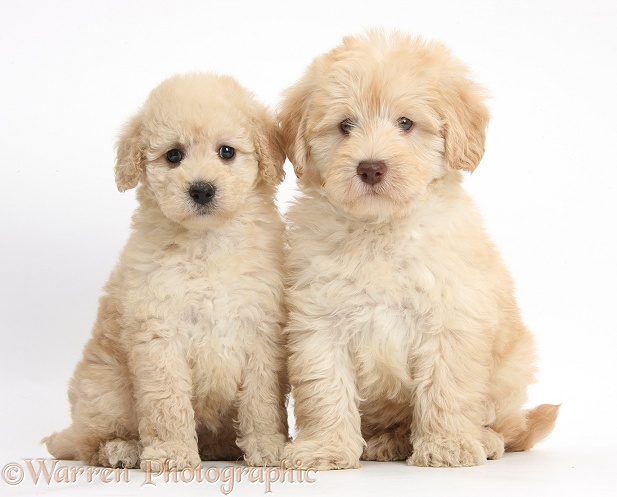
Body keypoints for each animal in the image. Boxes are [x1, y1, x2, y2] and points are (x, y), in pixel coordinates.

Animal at [44, 72, 290, 468]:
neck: (207, 243)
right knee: (89, 441)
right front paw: (172, 452)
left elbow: (262, 399)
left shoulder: (262, 329)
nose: (201, 190)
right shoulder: (160, 332)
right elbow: (167, 401)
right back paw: (121, 449)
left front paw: (268, 445)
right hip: (104, 390)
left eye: (226, 152)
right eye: (174, 155)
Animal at [280, 32, 560, 468]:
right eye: (345, 125)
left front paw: (448, 446)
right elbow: (324, 389)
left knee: (507, 424)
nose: (371, 168)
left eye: (406, 123)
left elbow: (447, 388)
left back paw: (483, 439)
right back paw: (388, 441)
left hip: (512, 367)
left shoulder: (451, 319)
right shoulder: (319, 321)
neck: (380, 229)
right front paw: (325, 448)